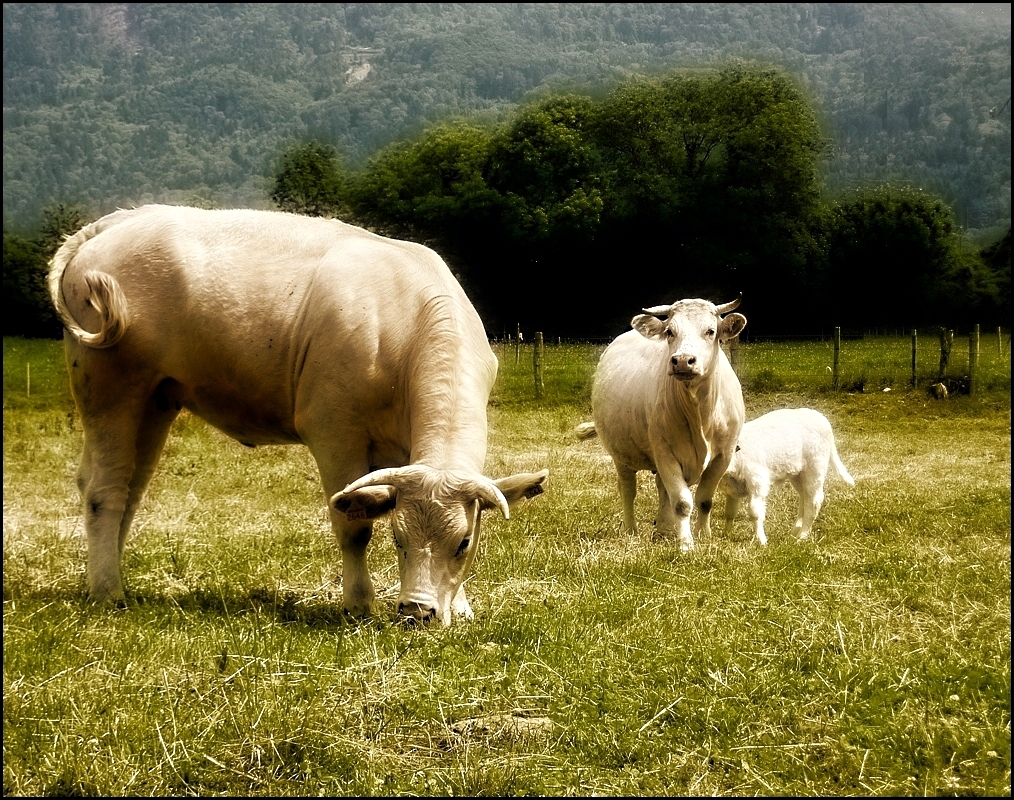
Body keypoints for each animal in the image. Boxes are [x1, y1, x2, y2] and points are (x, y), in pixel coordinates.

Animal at [48, 201, 551, 624]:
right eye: (398, 538)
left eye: (463, 542)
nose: (417, 612)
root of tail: (114, 222)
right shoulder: (334, 431)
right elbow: (353, 526)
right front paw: (358, 604)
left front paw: (460, 606)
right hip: (111, 387)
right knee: (104, 490)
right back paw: (107, 591)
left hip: (156, 399)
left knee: (128, 489)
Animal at [580, 296, 746, 551]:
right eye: (670, 331)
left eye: (711, 331)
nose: (683, 361)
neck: (700, 412)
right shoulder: (665, 453)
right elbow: (682, 502)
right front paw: (686, 544)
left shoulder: (723, 455)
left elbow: (704, 499)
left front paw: (703, 535)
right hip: (621, 455)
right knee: (628, 490)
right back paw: (631, 530)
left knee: (661, 489)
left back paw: (664, 530)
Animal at [721, 405, 855, 543]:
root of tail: (820, 417)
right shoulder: (731, 488)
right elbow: (730, 512)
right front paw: (726, 535)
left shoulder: (757, 481)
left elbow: (754, 512)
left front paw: (761, 540)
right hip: (798, 474)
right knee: (804, 497)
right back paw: (795, 530)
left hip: (816, 467)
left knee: (814, 501)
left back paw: (802, 536)